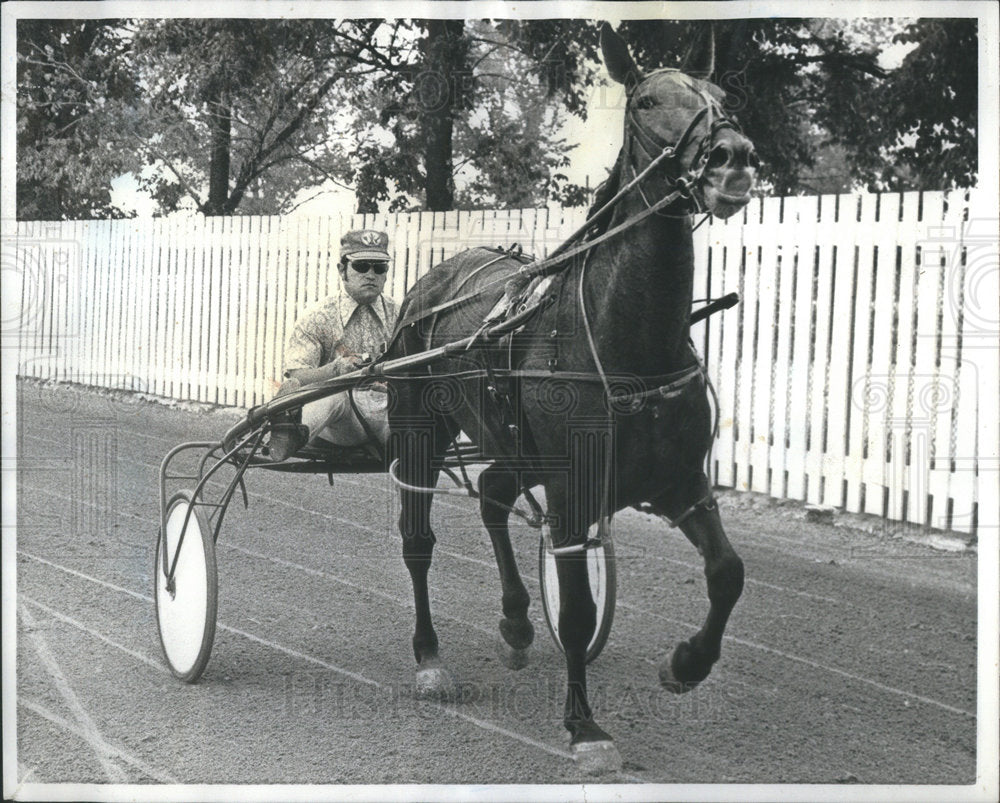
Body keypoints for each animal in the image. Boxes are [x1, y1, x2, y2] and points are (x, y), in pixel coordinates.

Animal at [382, 23, 756, 772]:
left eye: (720, 94)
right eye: (646, 101)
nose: (733, 158)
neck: (628, 342)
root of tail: (433, 280)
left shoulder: (681, 479)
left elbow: (726, 571)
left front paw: (686, 664)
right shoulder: (573, 487)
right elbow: (580, 610)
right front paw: (584, 725)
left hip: (512, 443)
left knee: (494, 492)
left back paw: (517, 621)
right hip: (418, 430)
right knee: (418, 540)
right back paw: (430, 656)